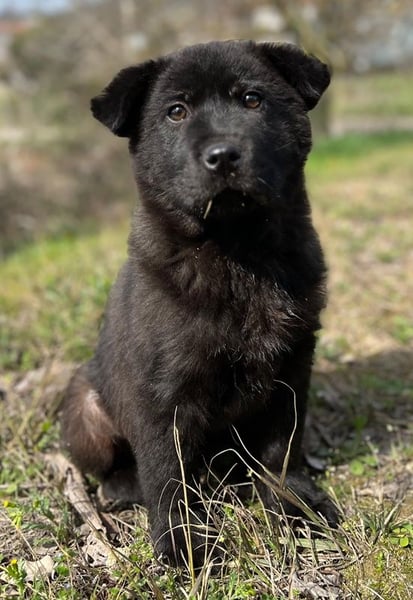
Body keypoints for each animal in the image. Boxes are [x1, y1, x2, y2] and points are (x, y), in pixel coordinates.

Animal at [61, 40, 337, 567]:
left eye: (252, 99)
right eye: (176, 111)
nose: (223, 155)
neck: (237, 251)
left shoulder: (293, 367)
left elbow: (283, 447)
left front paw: (292, 505)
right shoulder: (162, 393)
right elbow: (167, 474)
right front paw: (182, 541)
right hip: (84, 407)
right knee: (113, 468)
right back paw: (126, 486)